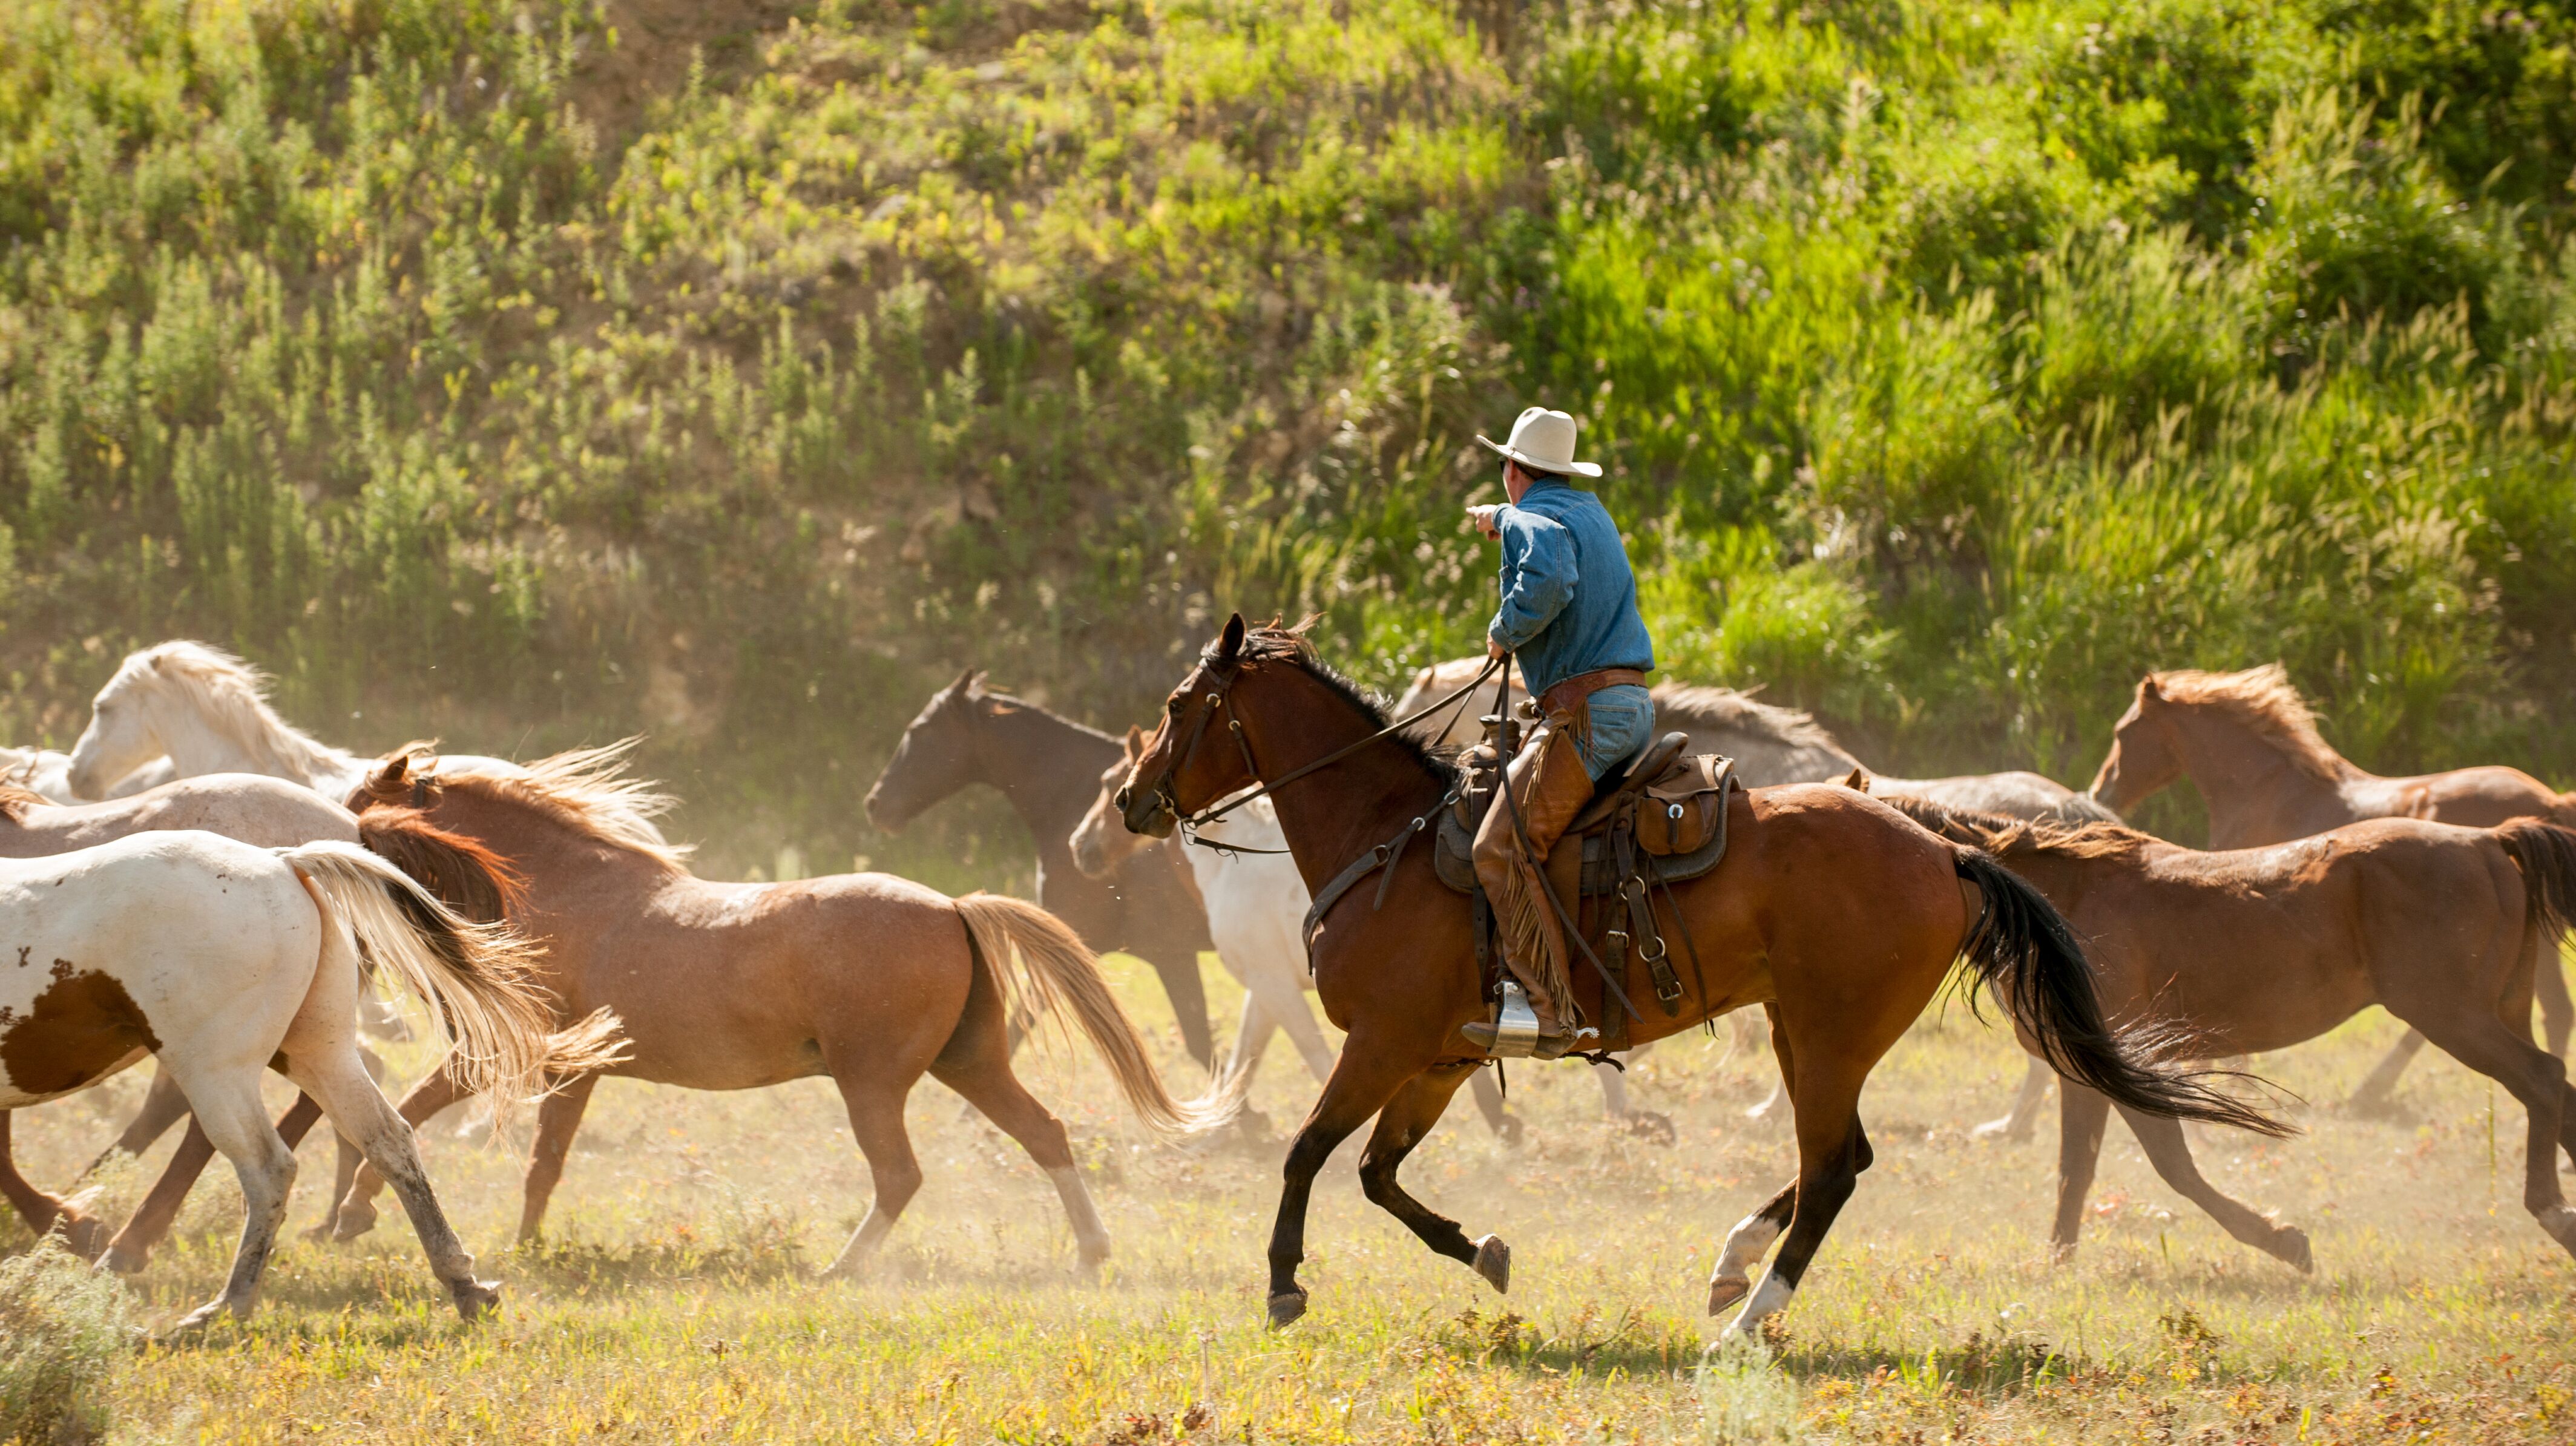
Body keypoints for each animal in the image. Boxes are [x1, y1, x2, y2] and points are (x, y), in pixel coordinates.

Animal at [1108, 621, 2277, 1330]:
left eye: (1177, 704)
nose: (1130, 800)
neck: (1387, 834)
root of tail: (1940, 851)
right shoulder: (1437, 1059)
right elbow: (1377, 1173)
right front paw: (1482, 1250)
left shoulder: (1382, 1044)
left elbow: (1310, 1152)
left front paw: (1281, 1282)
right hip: (1806, 1032)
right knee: (1837, 1158)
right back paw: (1731, 1268)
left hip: (1831, 1037)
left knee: (1832, 1169)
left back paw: (1751, 1318)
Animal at [1885, 794, 2576, 1268]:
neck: (2064, 898)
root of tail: (2489, 841)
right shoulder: (2087, 1071)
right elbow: (2076, 1169)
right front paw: (2058, 1260)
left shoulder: (2116, 1063)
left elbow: (2170, 1167)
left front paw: (2282, 1241)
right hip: (2497, 1012)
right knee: (2557, 1096)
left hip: (2455, 1017)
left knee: (2545, 1081)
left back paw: (2551, 1210)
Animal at [2091, 660, 2576, 1098]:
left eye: (2123, 733)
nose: (2102, 793)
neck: (2269, 788)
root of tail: (2546, 803)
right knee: (2553, 1015)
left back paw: (2371, 1091)